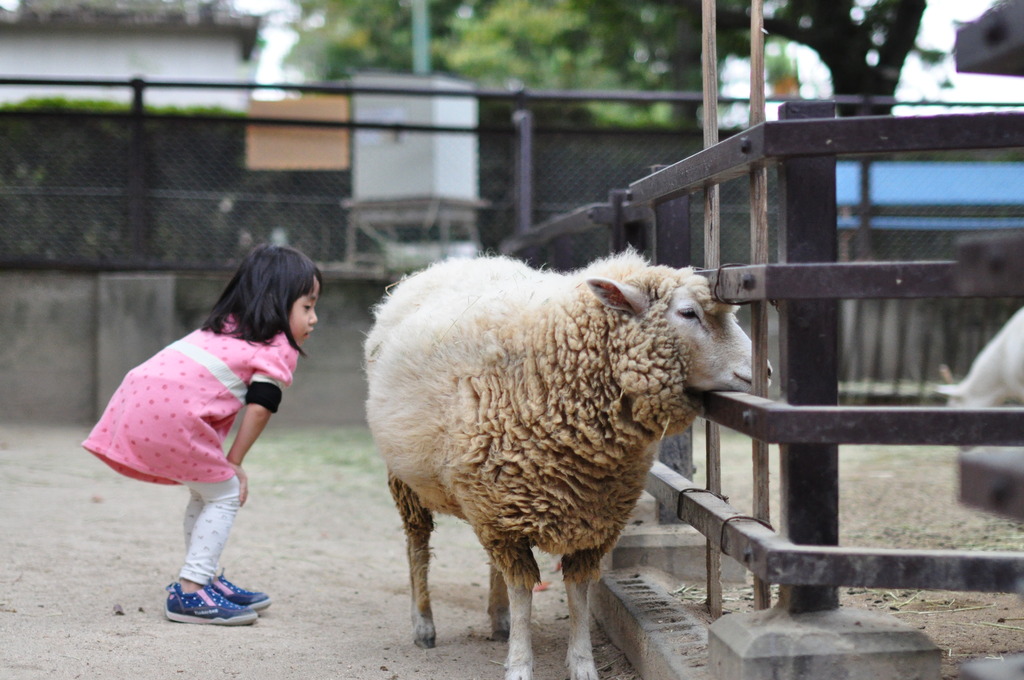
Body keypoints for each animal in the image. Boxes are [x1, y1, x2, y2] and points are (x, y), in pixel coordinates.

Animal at [364, 250, 757, 680]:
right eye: (688, 313)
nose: (762, 371)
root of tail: (451, 263)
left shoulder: (592, 516)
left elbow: (578, 592)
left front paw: (582, 662)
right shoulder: (504, 514)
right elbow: (523, 590)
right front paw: (520, 664)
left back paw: (498, 619)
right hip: (409, 482)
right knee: (418, 545)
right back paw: (424, 623)